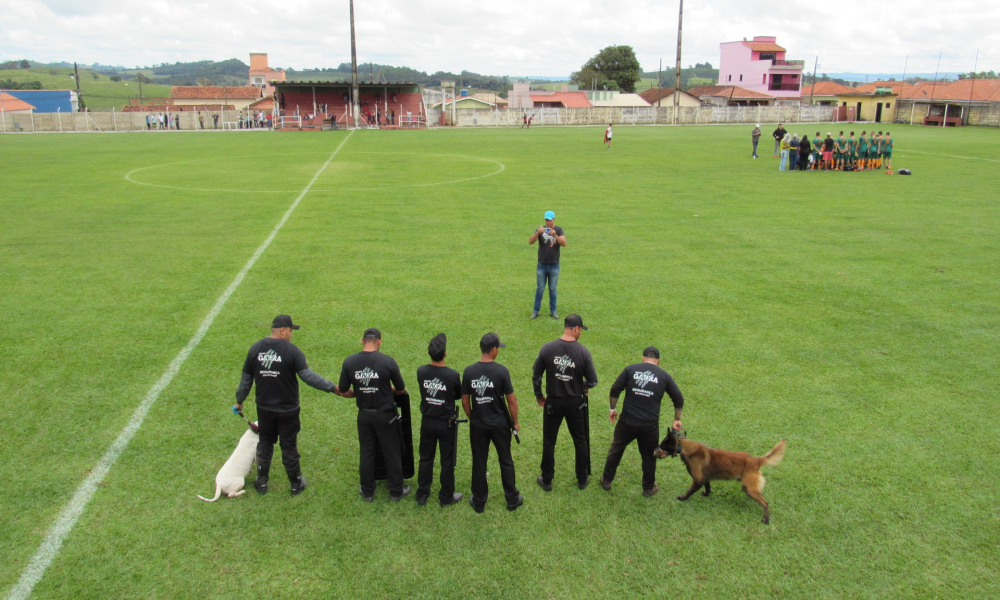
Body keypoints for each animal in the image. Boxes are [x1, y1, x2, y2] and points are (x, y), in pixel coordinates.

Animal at [656, 428, 788, 524]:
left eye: (663, 444)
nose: (655, 448)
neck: (684, 447)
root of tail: (756, 460)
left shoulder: (698, 480)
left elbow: (690, 490)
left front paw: (683, 497)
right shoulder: (705, 477)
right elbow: (708, 486)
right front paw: (706, 494)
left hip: (748, 488)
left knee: (765, 503)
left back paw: (766, 519)